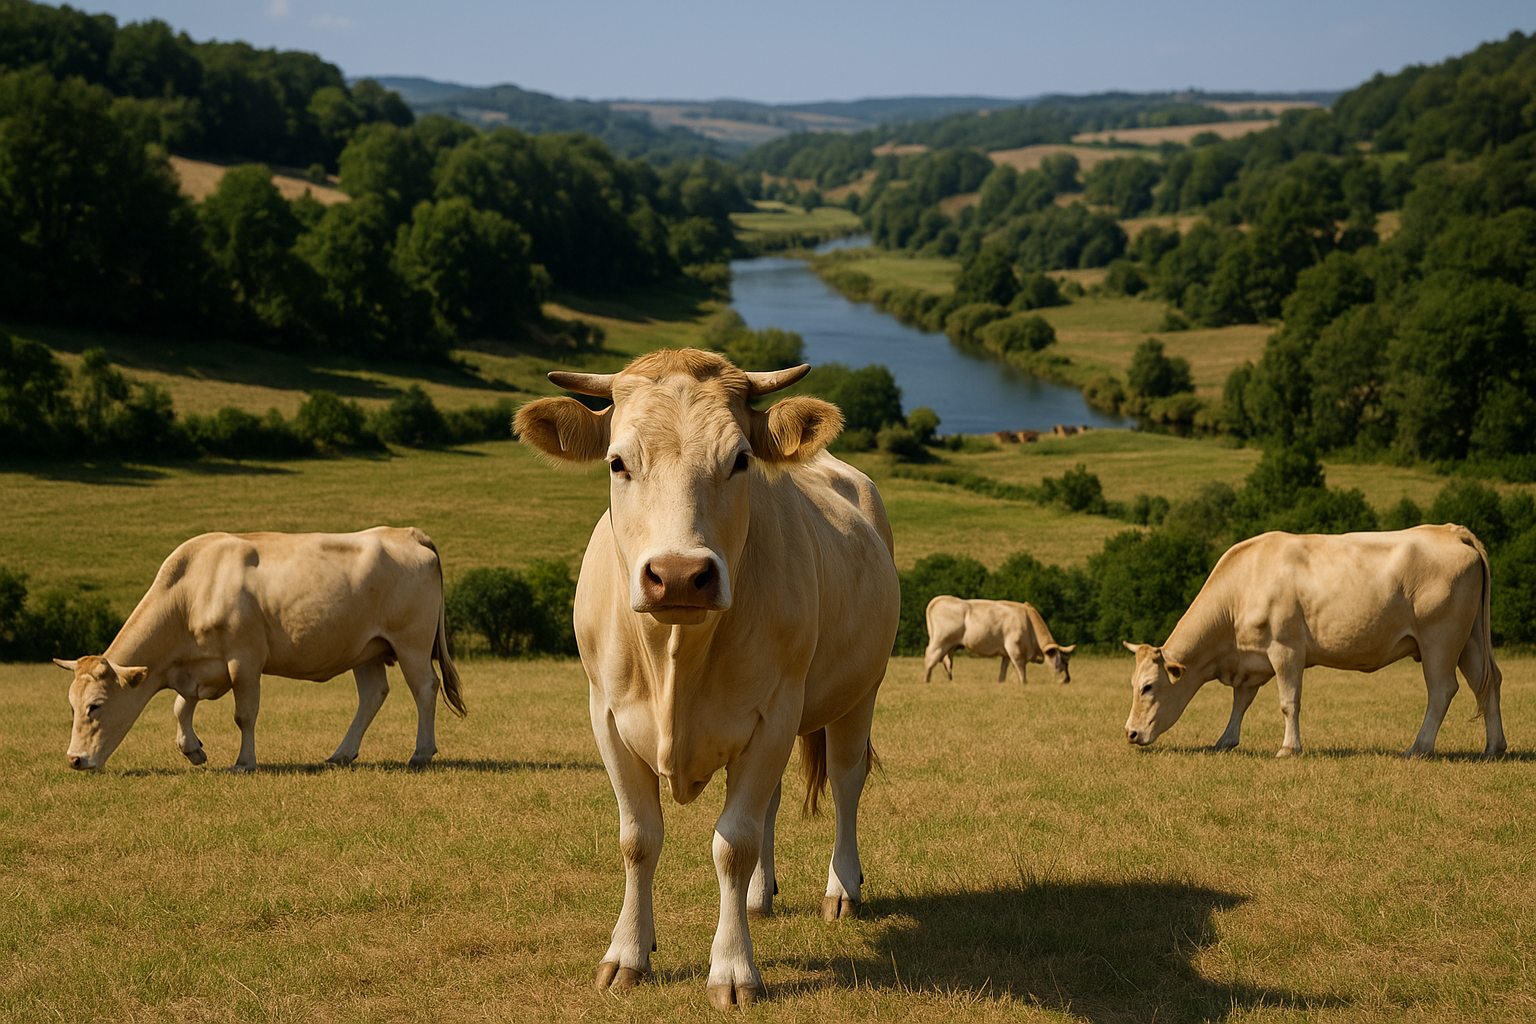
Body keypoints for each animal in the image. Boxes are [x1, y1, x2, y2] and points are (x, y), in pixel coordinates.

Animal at [57, 527, 465, 772]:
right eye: (72, 707)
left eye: (95, 706)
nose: (74, 759)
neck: (191, 591)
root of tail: (406, 533)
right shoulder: (196, 667)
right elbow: (180, 707)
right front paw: (192, 749)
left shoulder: (245, 660)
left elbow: (244, 715)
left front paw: (244, 761)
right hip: (365, 648)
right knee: (373, 695)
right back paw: (341, 754)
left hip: (411, 642)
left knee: (425, 688)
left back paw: (421, 753)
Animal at [514, 349, 901, 1009]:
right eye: (618, 462)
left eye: (740, 459)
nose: (678, 575)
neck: (676, 657)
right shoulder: (607, 716)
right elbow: (639, 838)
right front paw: (629, 952)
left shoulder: (775, 713)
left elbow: (733, 842)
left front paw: (733, 967)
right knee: (772, 803)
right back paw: (758, 898)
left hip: (859, 693)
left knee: (847, 782)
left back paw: (841, 889)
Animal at [923, 596, 1076, 684]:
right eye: (1063, 661)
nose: (1067, 680)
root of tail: (938, 599)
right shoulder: (1014, 648)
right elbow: (1021, 670)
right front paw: (1024, 685)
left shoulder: (1006, 654)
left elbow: (1003, 672)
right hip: (940, 642)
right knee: (929, 660)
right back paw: (926, 682)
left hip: (948, 646)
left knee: (945, 662)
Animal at [1123, 525, 1505, 760]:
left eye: (1147, 687)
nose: (1130, 733)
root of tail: (1451, 531)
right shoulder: (1251, 659)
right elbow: (1241, 702)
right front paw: (1225, 740)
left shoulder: (1285, 649)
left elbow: (1288, 702)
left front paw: (1289, 748)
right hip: (1470, 640)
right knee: (1488, 683)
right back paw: (1494, 747)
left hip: (1439, 638)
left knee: (1441, 690)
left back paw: (1419, 747)